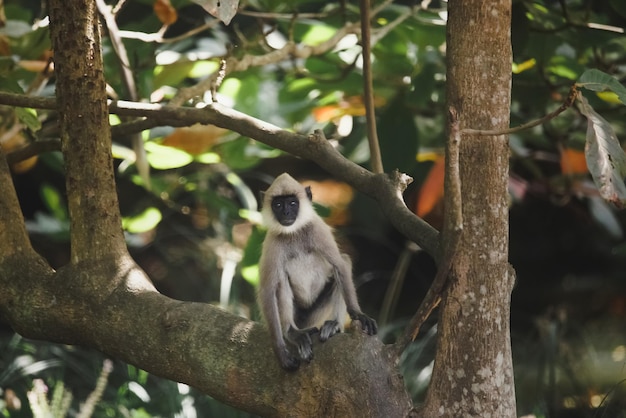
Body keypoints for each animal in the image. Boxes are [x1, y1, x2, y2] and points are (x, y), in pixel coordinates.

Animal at [258, 171, 376, 370]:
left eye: (292, 203)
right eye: (278, 205)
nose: (286, 213)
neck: (294, 232)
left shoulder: (317, 229)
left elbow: (339, 265)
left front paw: (358, 314)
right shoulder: (273, 242)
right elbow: (267, 291)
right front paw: (280, 351)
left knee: (343, 262)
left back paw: (335, 325)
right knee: (280, 280)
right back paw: (292, 332)